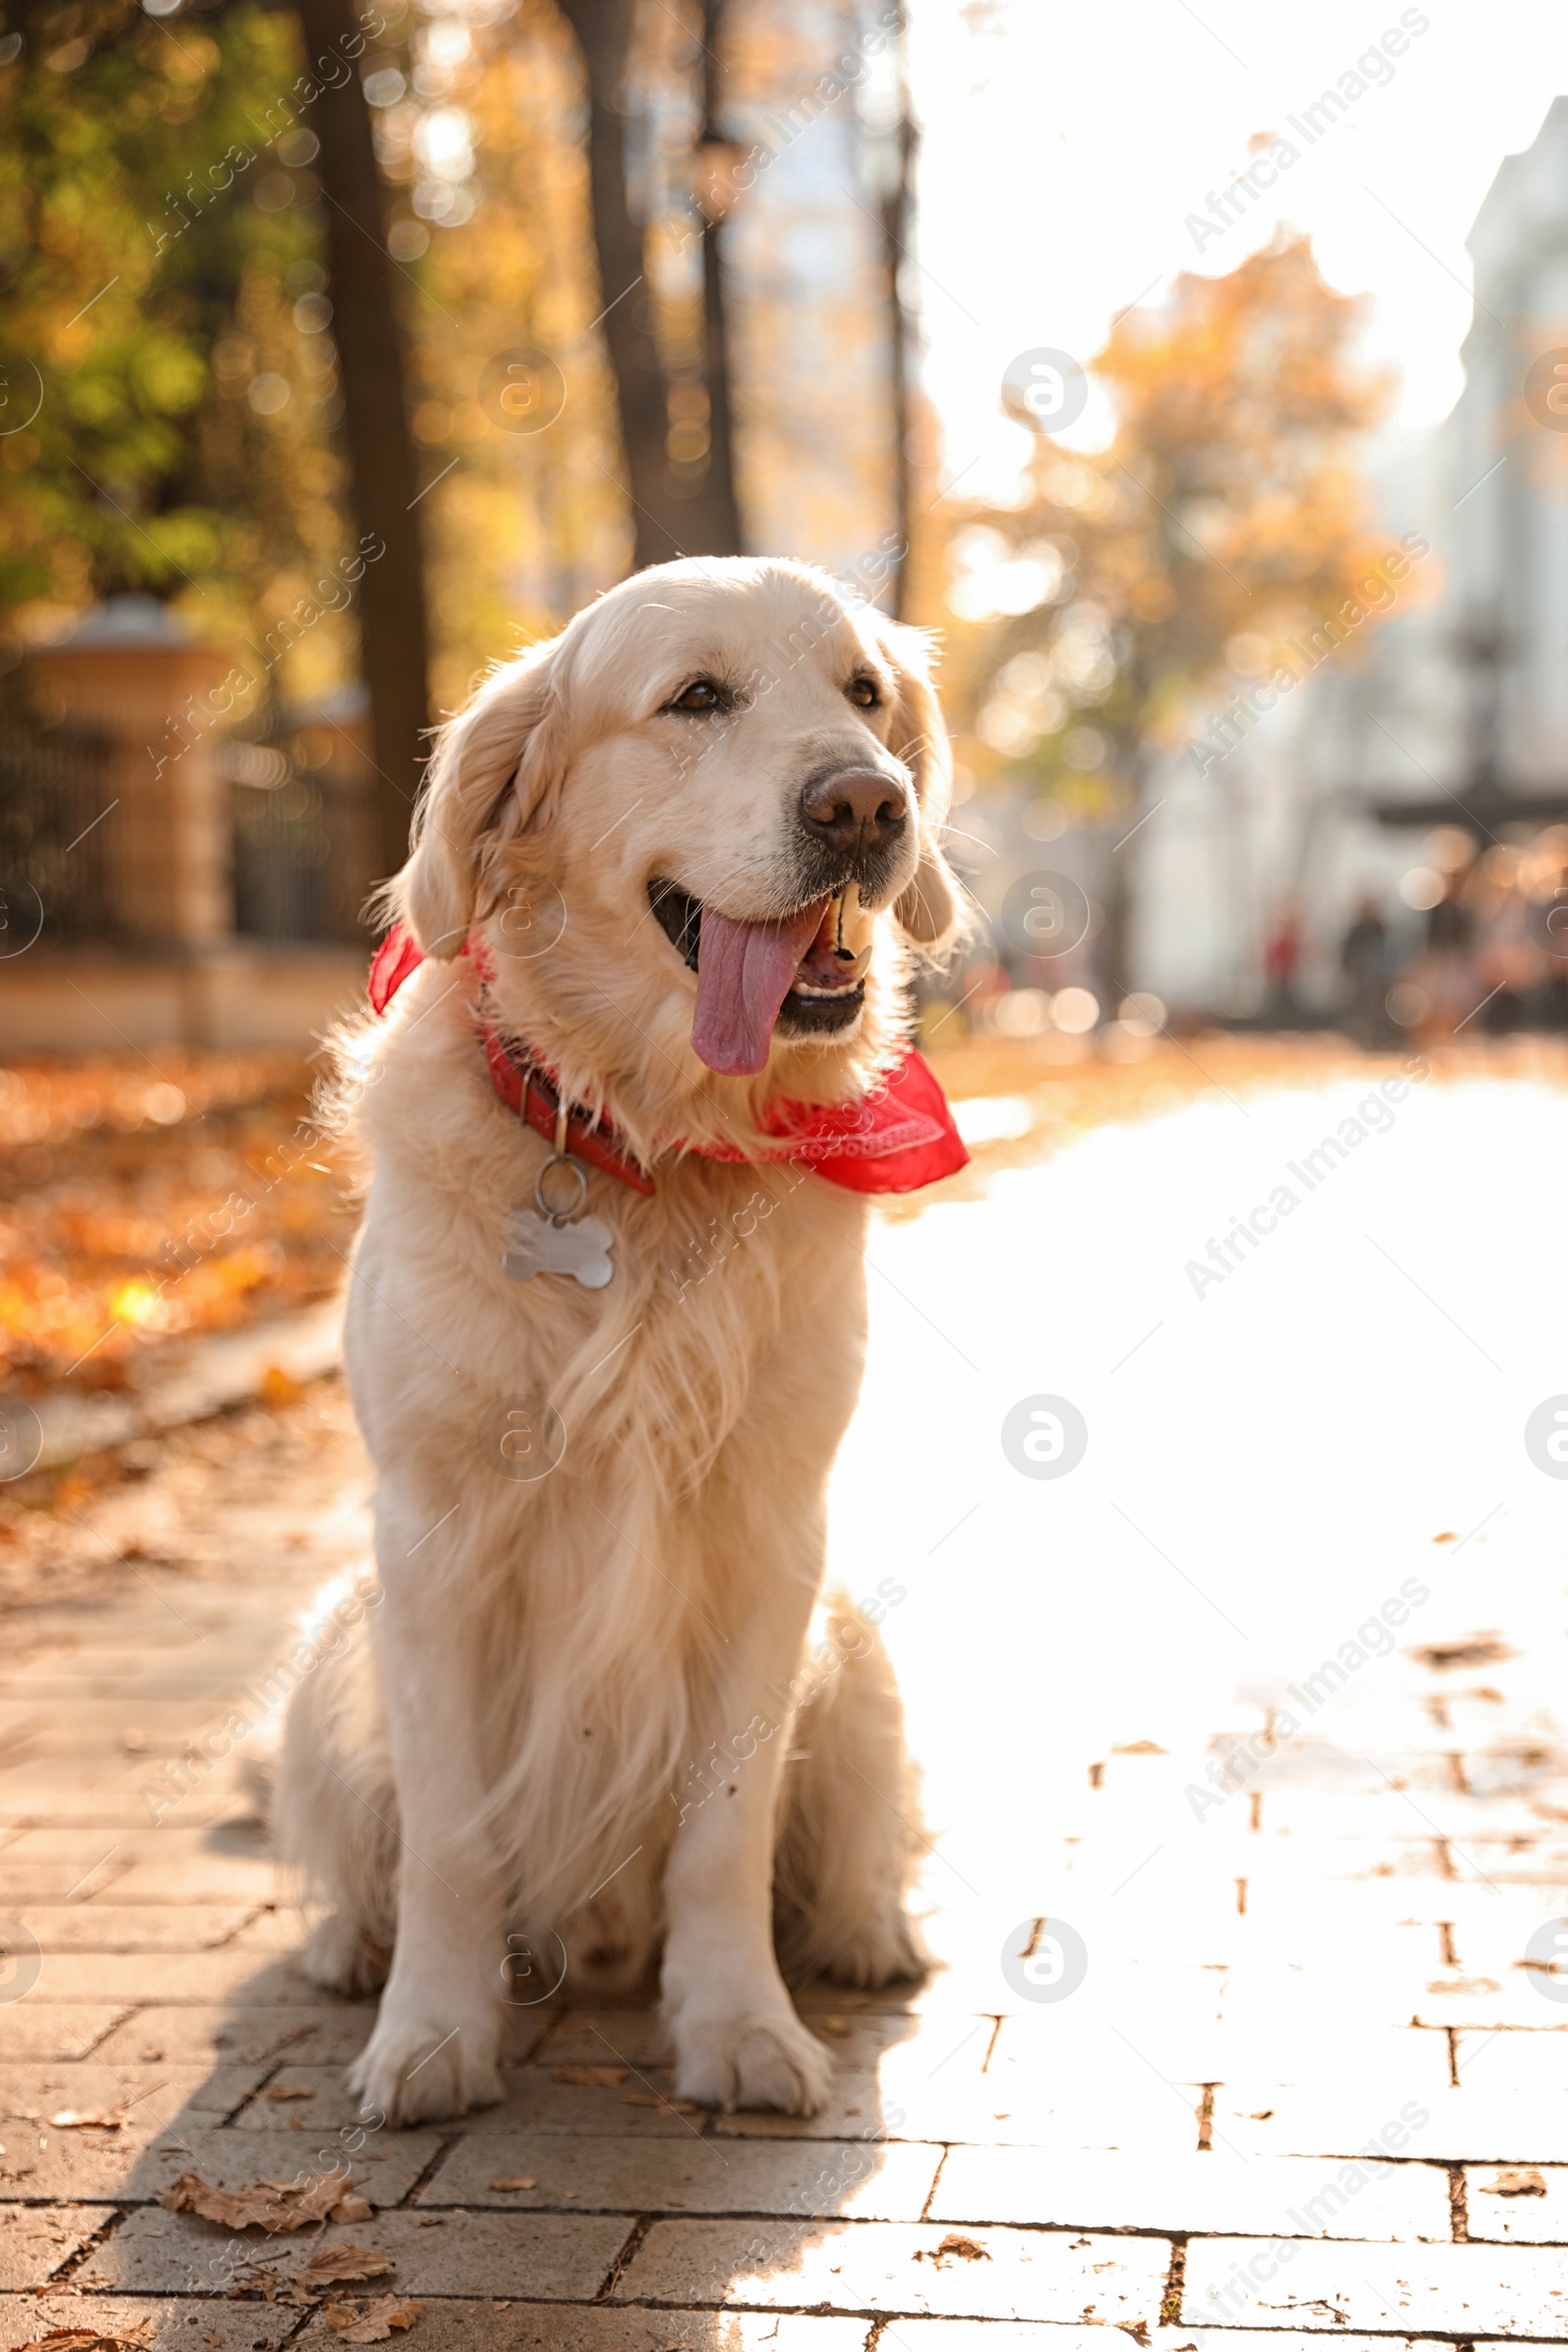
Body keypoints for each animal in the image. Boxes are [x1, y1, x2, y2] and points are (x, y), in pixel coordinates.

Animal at [281, 555, 968, 2135]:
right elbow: (450, 1839)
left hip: (856, 1649)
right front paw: (431, 2036)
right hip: (330, 1649)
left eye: (866, 694)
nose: (867, 805)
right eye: (696, 698)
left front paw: (741, 2028)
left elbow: (725, 1830)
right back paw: (353, 1947)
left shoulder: (773, 1538)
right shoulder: (431, 1540)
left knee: (858, 1838)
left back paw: (868, 1932)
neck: (652, 1150)